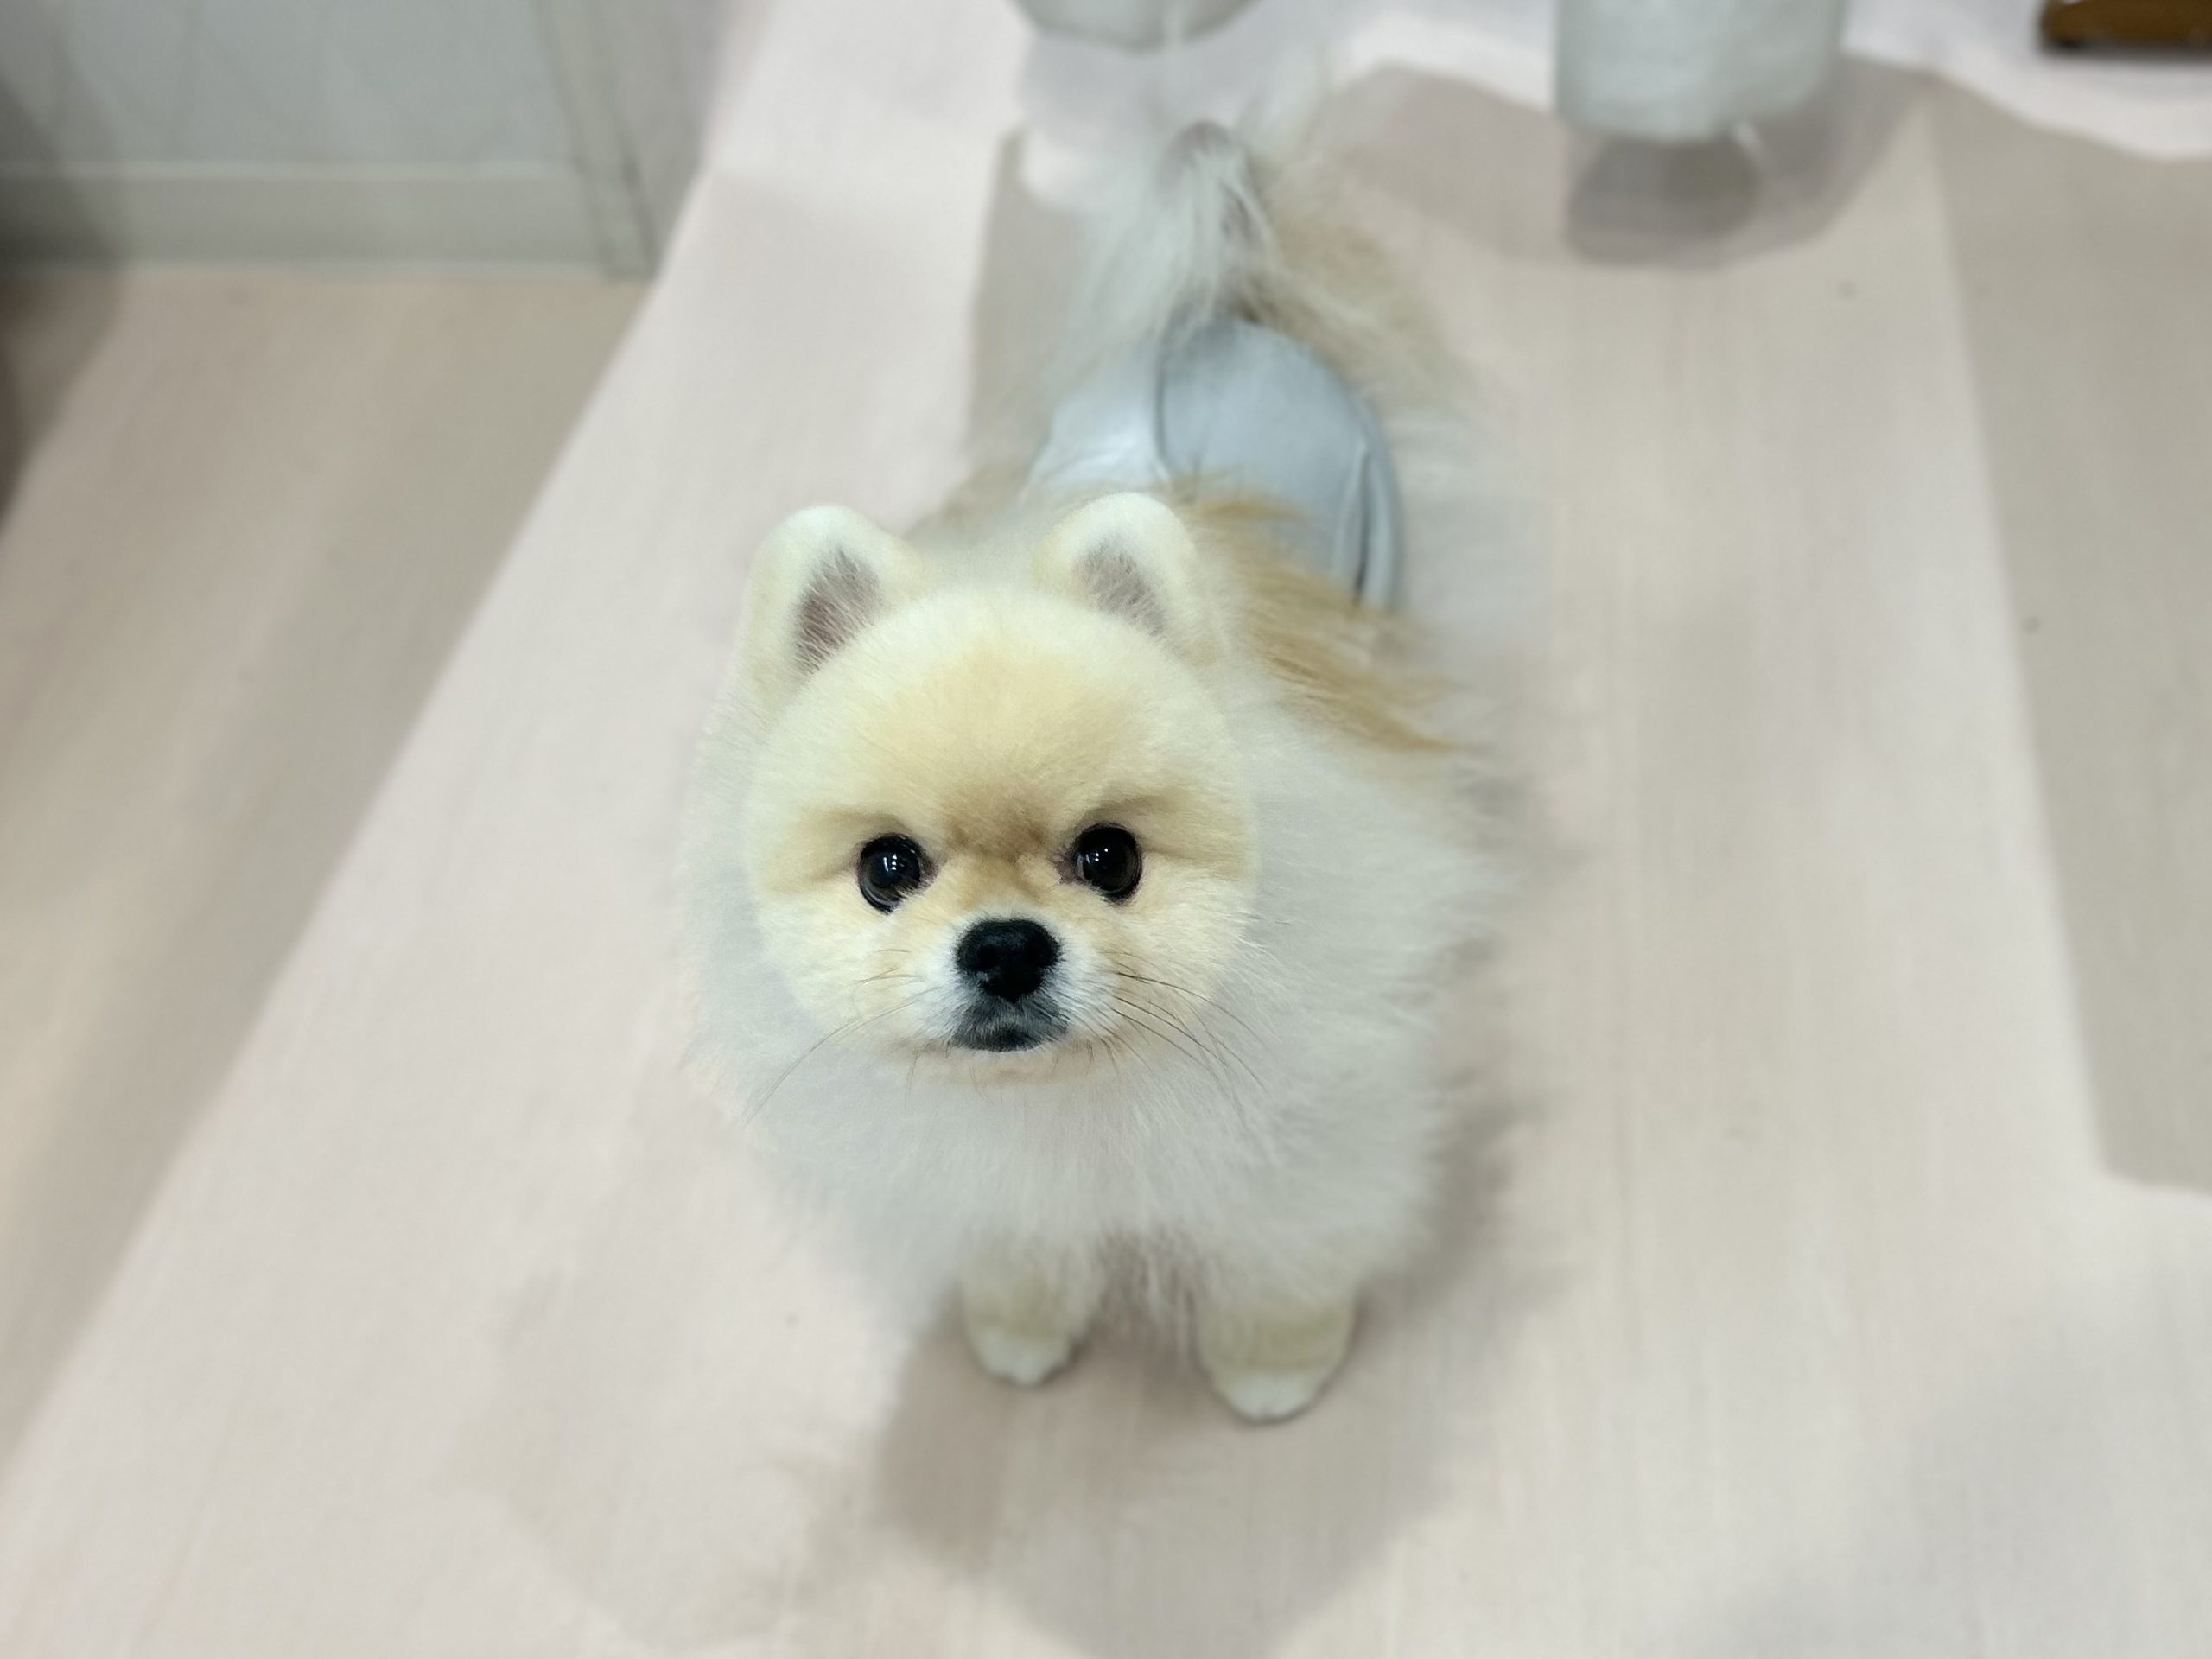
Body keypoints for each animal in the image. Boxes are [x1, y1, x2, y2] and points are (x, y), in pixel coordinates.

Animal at [681, 122, 1501, 1421]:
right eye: (887, 870)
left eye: (1111, 858)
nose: (1005, 946)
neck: (1069, 1093)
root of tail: (1218, 306)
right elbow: (1016, 1243)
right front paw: (1019, 1329)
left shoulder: (1312, 1125)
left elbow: (1287, 1243)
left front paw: (1276, 1365)